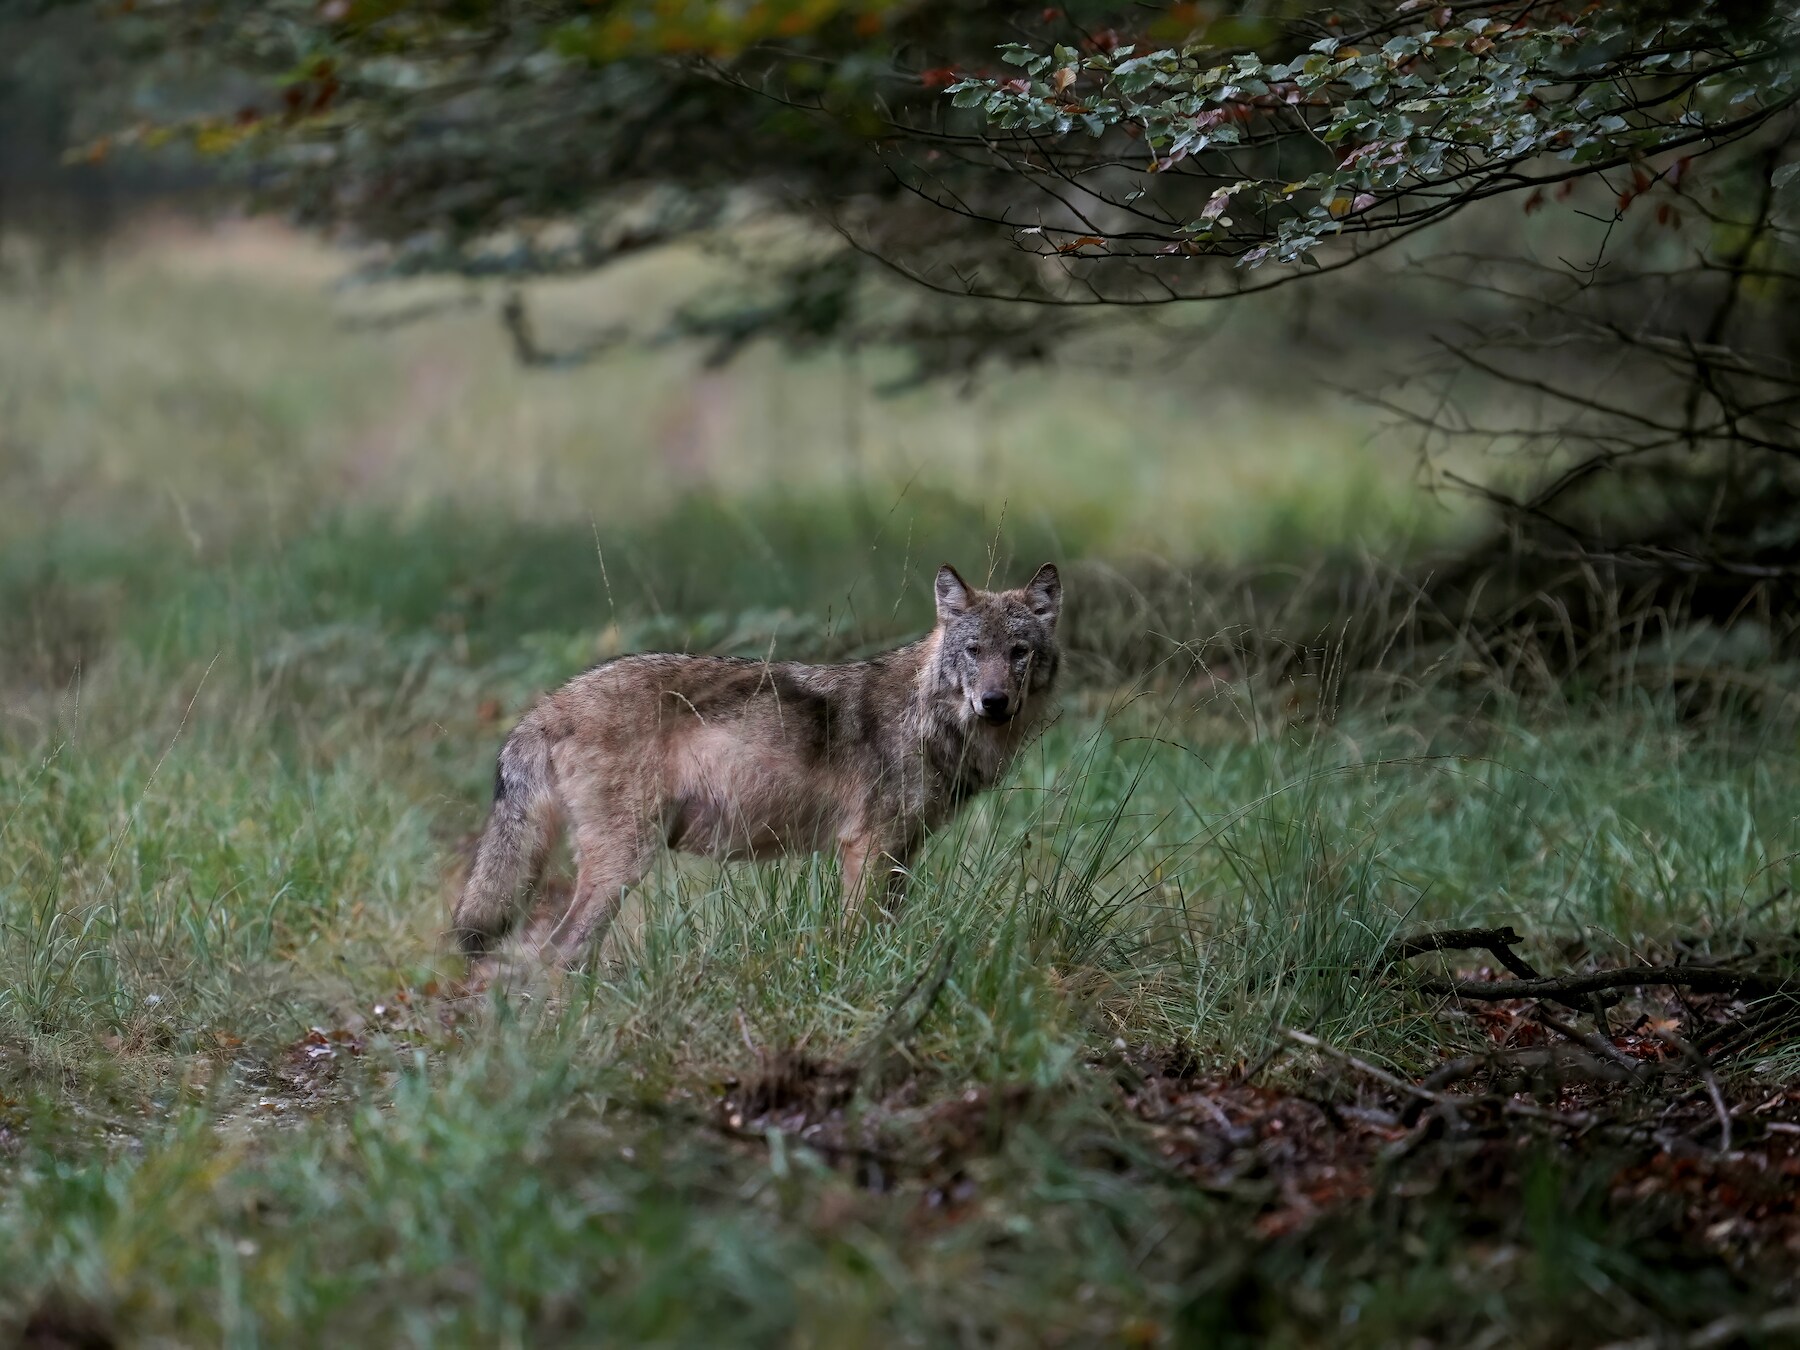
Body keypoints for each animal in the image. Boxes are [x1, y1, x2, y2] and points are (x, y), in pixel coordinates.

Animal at [452, 562, 1063, 967]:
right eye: (974, 652)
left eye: (1018, 653)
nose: (994, 702)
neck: (927, 718)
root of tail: (549, 703)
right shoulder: (867, 847)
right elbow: (856, 936)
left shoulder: (902, 852)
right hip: (623, 864)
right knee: (556, 953)